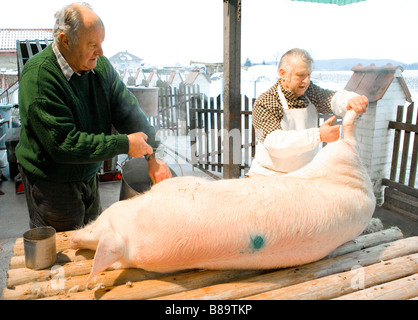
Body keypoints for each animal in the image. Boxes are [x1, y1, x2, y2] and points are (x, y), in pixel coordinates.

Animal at [71, 109, 376, 280]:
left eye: (98, 227)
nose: (74, 237)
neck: (131, 232)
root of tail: (364, 188)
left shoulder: (174, 189)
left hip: (337, 154)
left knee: (347, 136)